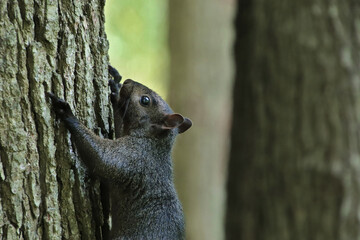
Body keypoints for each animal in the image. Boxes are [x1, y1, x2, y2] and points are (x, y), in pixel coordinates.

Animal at [47, 65, 191, 240]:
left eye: (145, 100)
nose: (128, 81)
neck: (154, 143)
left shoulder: (133, 157)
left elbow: (102, 159)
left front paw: (68, 114)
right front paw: (115, 86)